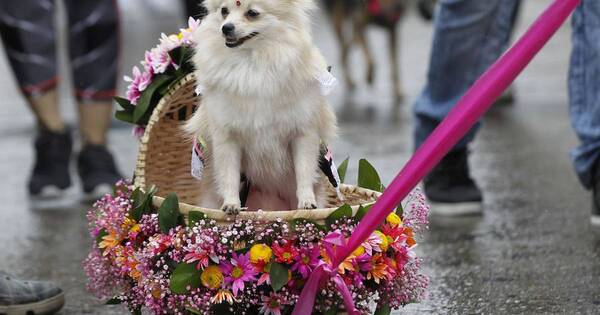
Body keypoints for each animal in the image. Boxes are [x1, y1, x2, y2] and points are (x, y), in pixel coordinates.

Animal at [185, 0, 338, 215]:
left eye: (252, 13)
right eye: (224, 11)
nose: (226, 27)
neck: (252, 64)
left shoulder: (303, 133)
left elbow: (304, 170)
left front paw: (307, 200)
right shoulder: (226, 137)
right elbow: (229, 173)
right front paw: (231, 204)